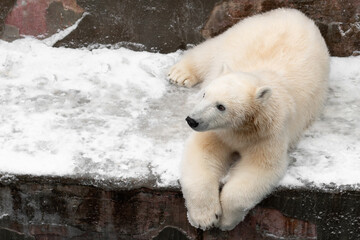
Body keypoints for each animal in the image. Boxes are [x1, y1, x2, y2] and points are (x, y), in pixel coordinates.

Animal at [169, 8, 330, 232]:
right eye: (204, 95)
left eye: (221, 106)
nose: (192, 120)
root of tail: (293, 12)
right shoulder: (217, 132)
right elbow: (202, 153)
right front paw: (205, 218)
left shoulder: (268, 133)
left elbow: (260, 169)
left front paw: (226, 221)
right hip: (240, 32)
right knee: (209, 51)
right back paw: (180, 73)